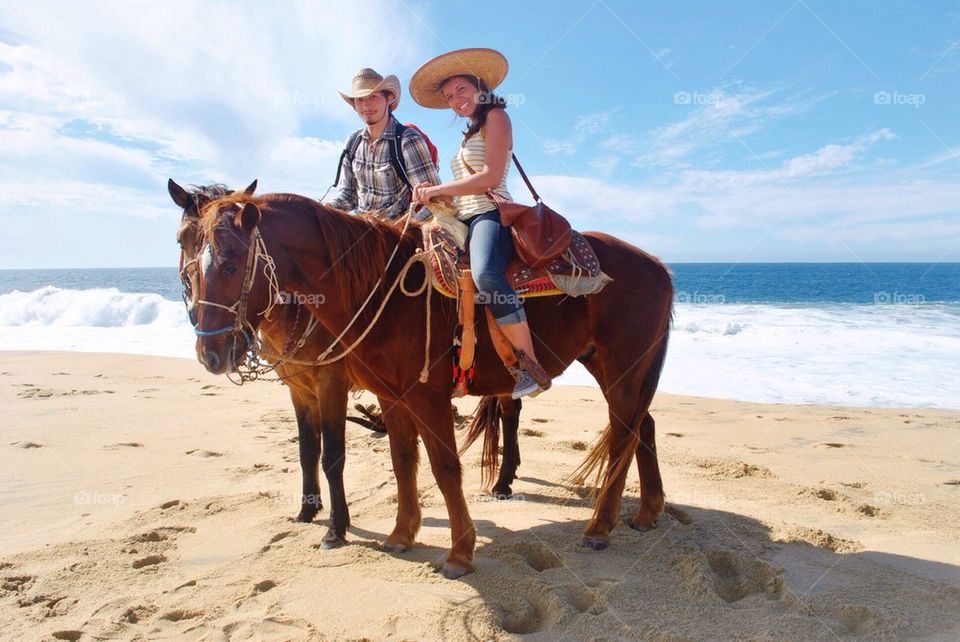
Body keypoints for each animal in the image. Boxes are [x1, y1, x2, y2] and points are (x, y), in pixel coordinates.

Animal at [191, 189, 672, 576]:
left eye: (231, 266)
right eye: (192, 267)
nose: (211, 353)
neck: (383, 289)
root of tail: (658, 265)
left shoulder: (426, 396)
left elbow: (444, 468)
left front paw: (459, 553)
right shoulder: (391, 397)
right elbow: (403, 461)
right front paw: (402, 536)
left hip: (622, 368)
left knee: (624, 434)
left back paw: (600, 527)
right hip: (614, 368)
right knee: (643, 427)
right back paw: (647, 512)